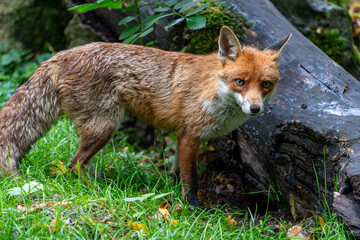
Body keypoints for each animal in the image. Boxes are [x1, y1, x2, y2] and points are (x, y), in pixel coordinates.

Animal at [0, 26, 290, 206]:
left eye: (266, 84)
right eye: (240, 82)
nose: (255, 109)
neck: (213, 90)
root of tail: (57, 56)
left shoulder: (180, 137)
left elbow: (177, 172)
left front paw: (174, 194)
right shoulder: (190, 135)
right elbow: (191, 179)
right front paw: (194, 209)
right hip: (105, 127)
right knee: (74, 164)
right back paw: (97, 192)